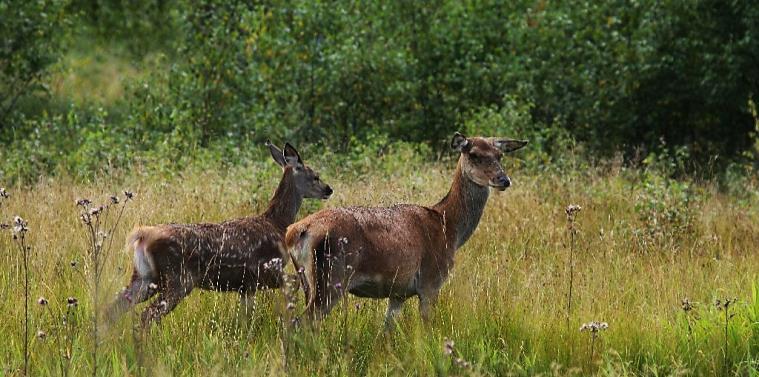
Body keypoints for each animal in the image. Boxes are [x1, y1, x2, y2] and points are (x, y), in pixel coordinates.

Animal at [107, 142, 332, 324]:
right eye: (315, 176)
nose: (329, 189)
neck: (277, 223)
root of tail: (142, 236)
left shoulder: (246, 286)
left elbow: (244, 316)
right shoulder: (265, 269)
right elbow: (295, 282)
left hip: (144, 276)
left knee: (111, 309)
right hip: (177, 279)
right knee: (146, 315)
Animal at [286, 132, 528, 326]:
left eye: (500, 155)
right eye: (474, 154)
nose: (503, 179)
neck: (449, 229)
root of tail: (296, 231)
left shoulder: (398, 293)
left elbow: (386, 331)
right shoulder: (431, 280)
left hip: (307, 281)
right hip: (330, 277)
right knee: (300, 323)